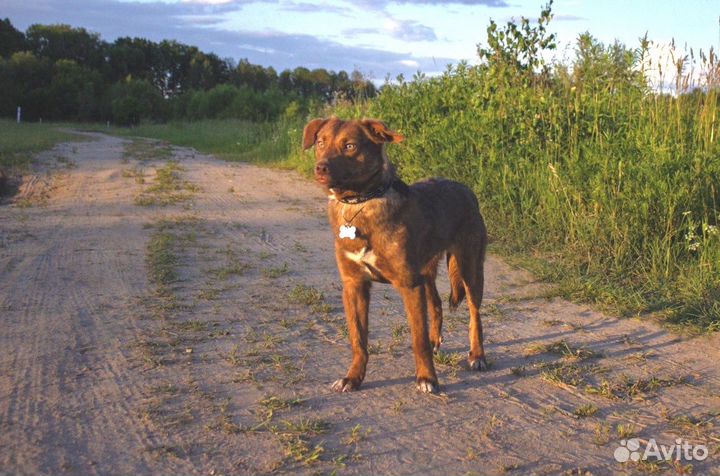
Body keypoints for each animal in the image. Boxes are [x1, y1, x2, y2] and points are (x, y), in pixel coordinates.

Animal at [300, 116, 486, 394]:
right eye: (321, 143)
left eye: (350, 146)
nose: (320, 168)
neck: (360, 202)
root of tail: (466, 189)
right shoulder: (354, 285)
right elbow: (358, 340)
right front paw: (353, 377)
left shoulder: (409, 285)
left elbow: (418, 339)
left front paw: (427, 378)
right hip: (426, 272)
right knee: (437, 304)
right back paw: (437, 340)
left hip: (469, 270)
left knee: (475, 314)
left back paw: (477, 355)